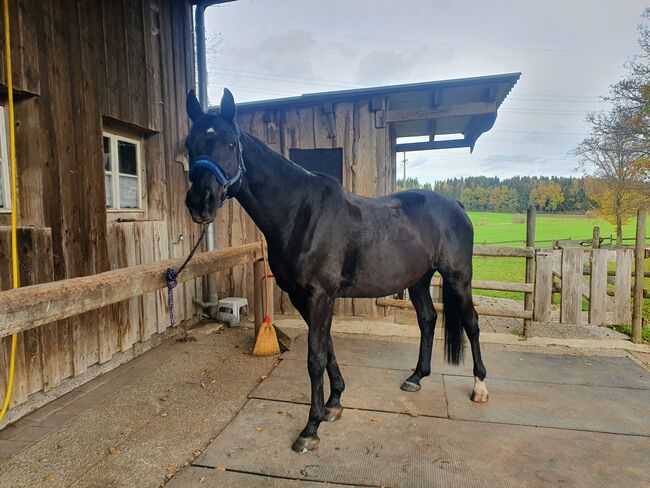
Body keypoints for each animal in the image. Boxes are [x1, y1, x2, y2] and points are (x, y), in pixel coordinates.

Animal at [182, 88, 486, 454]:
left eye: (229, 142)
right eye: (189, 143)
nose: (200, 202)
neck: (300, 212)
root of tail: (456, 205)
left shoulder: (320, 295)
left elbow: (315, 356)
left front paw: (310, 428)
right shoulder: (302, 297)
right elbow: (326, 348)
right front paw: (334, 403)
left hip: (459, 278)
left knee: (471, 323)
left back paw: (480, 387)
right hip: (418, 281)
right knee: (428, 320)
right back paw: (416, 378)